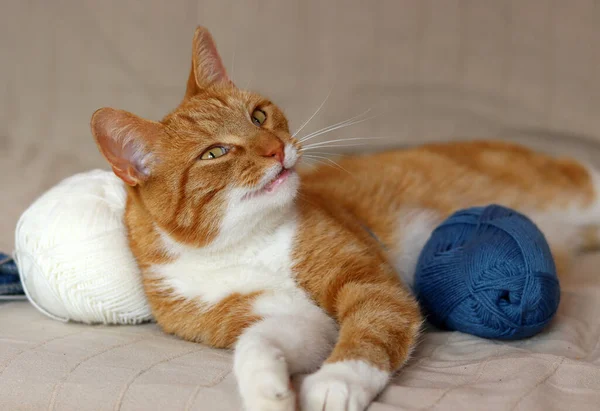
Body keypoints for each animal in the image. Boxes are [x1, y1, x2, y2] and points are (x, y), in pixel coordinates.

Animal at [90, 26, 600, 411]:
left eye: (258, 116)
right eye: (215, 153)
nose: (276, 149)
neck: (244, 246)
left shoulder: (370, 281)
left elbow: (368, 331)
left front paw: (338, 382)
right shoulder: (286, 317)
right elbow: (257, 342)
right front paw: (268, 392)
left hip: (572, 188)